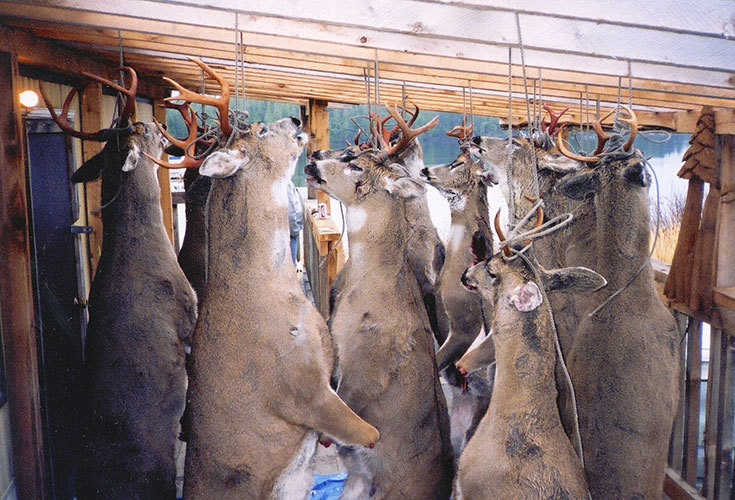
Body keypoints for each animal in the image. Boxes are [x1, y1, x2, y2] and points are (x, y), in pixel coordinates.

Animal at [305, 104, 454, 499]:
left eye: (355, 164)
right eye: (345, 153)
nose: (313, 158)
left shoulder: (373, 356)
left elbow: (349, 396)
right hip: (359, 481)